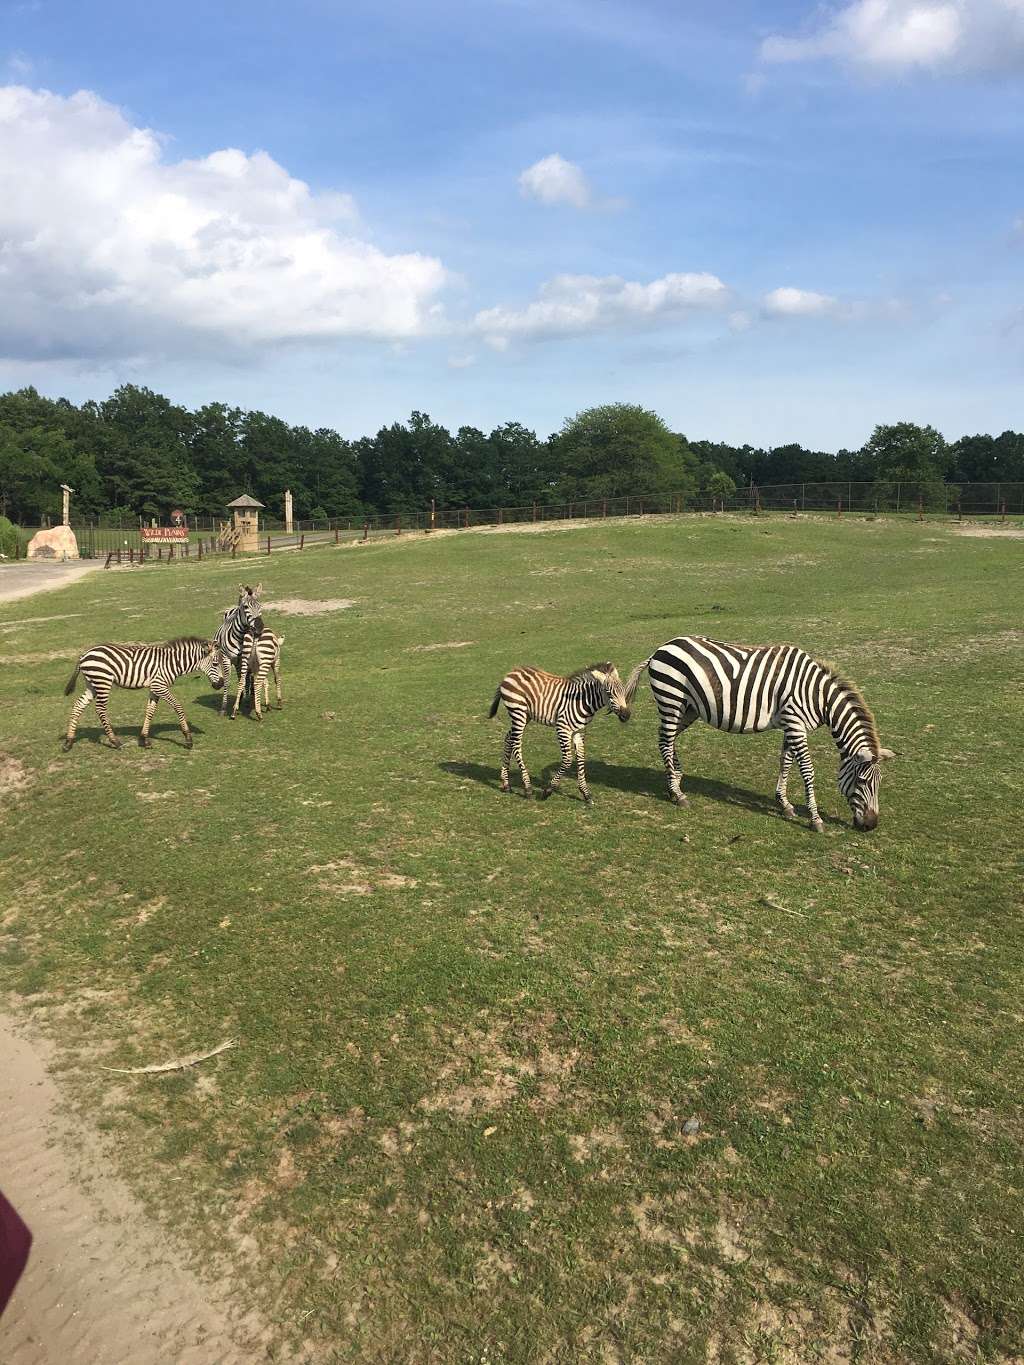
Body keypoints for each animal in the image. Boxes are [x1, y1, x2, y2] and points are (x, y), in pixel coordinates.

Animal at [63, 636, 226, 753]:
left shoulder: (154, 688)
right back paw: (115, 741)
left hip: (92, 684)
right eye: (215, 664)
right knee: (100, 709)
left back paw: (68, 742)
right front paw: (188, 738)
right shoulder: (160, 686)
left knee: (78, 705)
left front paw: (144, 740)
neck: (173, 663)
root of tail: (84, 654)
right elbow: (178, 706)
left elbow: (150, 711)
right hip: (103, 682)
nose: (220, 684)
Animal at [214, 584, 264, 720]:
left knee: (246, 676)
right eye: (246, 607)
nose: (259, 627)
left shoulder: (245, 658)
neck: (240, 636)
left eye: (260, 606)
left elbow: (245, 678)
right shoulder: (226, 658)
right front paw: (223, 708)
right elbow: (227, 682)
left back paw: (247, 696)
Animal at [488, 660, 633, 797]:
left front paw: (585, 793)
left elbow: (581, 758)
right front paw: (548, 790)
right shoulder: (562, 728)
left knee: (509, 739)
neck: (582, 701)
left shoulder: (579, 731)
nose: (626, 715)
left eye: (623, 690)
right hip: (518, 713)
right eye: (609, 693)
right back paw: (528, 788)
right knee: (516, 744)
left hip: (525, 716)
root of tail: (511, 672)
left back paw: (506, 784)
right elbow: (568, 760)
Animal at [622, 636, 895, 829]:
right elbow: (807, 770)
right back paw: (678, 794)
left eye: (880, 783)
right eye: (862, 782)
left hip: (688, 709)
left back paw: (675, 782)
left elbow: (785, 763)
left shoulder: (791, 724)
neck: (818, 695)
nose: (871, 826)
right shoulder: (795, 723)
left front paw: (784, 804)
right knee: (666, 740)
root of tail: (661, 648)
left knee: (664, 740)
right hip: (672, 700)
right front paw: (815, 819)